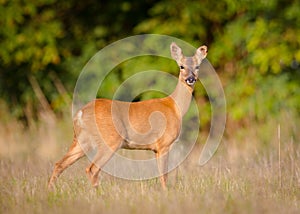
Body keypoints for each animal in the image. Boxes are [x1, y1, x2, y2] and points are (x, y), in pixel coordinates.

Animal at [48, 42, 207, 190]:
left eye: (198, 66)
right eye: (181, 66)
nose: (191, 79)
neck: (175, 107)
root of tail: (80, 113)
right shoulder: (164, 144)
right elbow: (164, 175)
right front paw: (165, 192)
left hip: (82, 140)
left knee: (59, 164)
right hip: (110, 139)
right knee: (91, 169)